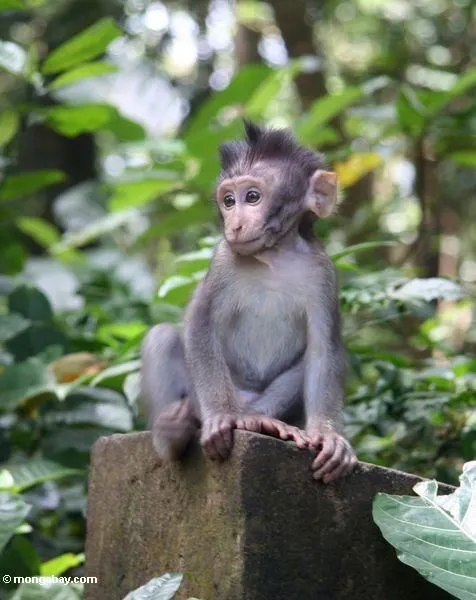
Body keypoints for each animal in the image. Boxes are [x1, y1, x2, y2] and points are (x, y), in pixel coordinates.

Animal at [141, 120, 356, 482]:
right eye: (228, 201)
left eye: (252, 197)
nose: (235, 223)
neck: (274, 258)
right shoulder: (223, 261)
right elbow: (200, 325)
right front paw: (220, 416)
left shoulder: (323, 273)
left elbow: (324, 349)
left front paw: (328, 435)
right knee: (164, 336)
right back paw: (174, 434)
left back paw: (261, 420)